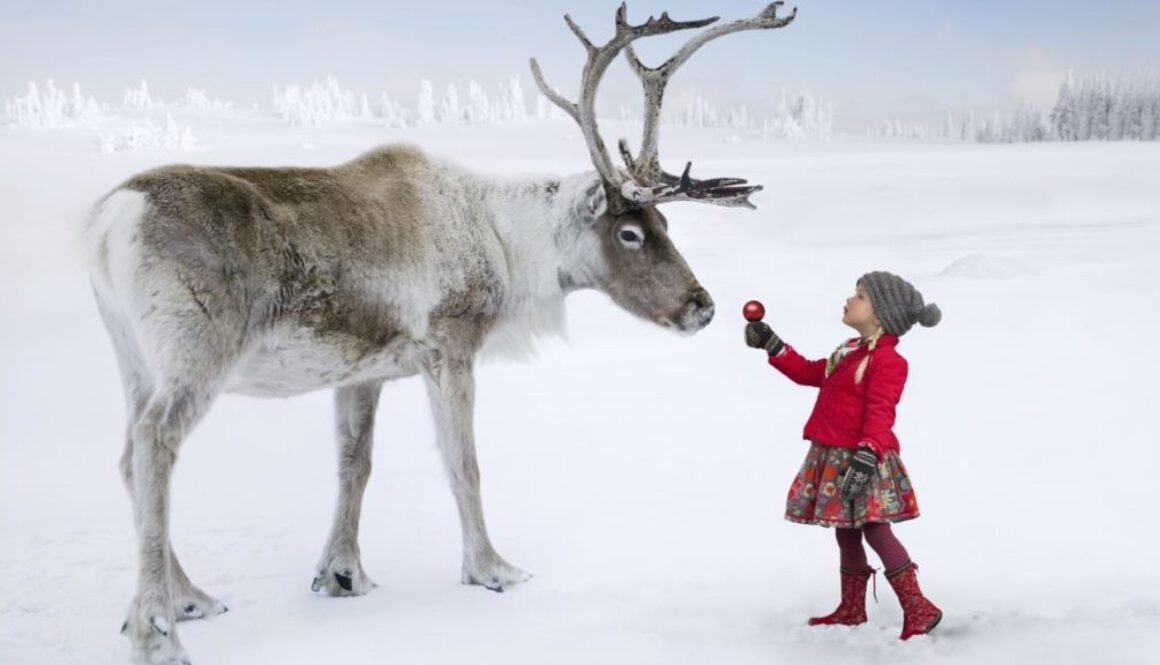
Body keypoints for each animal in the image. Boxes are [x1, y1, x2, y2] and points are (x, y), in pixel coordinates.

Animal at [82, 3, 796, 663]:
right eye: (629, 233)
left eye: (667, 226)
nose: (703, 306)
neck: (506, 247)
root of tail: (109, 219)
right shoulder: (452, 345)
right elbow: (464, 462)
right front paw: (492, 568)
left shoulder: (363, 370)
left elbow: (355, 465)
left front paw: (342, 573)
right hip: (196, 351)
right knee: (155, 443)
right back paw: (157, 630)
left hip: (131, 354)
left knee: (126, 452)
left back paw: (188, 597)